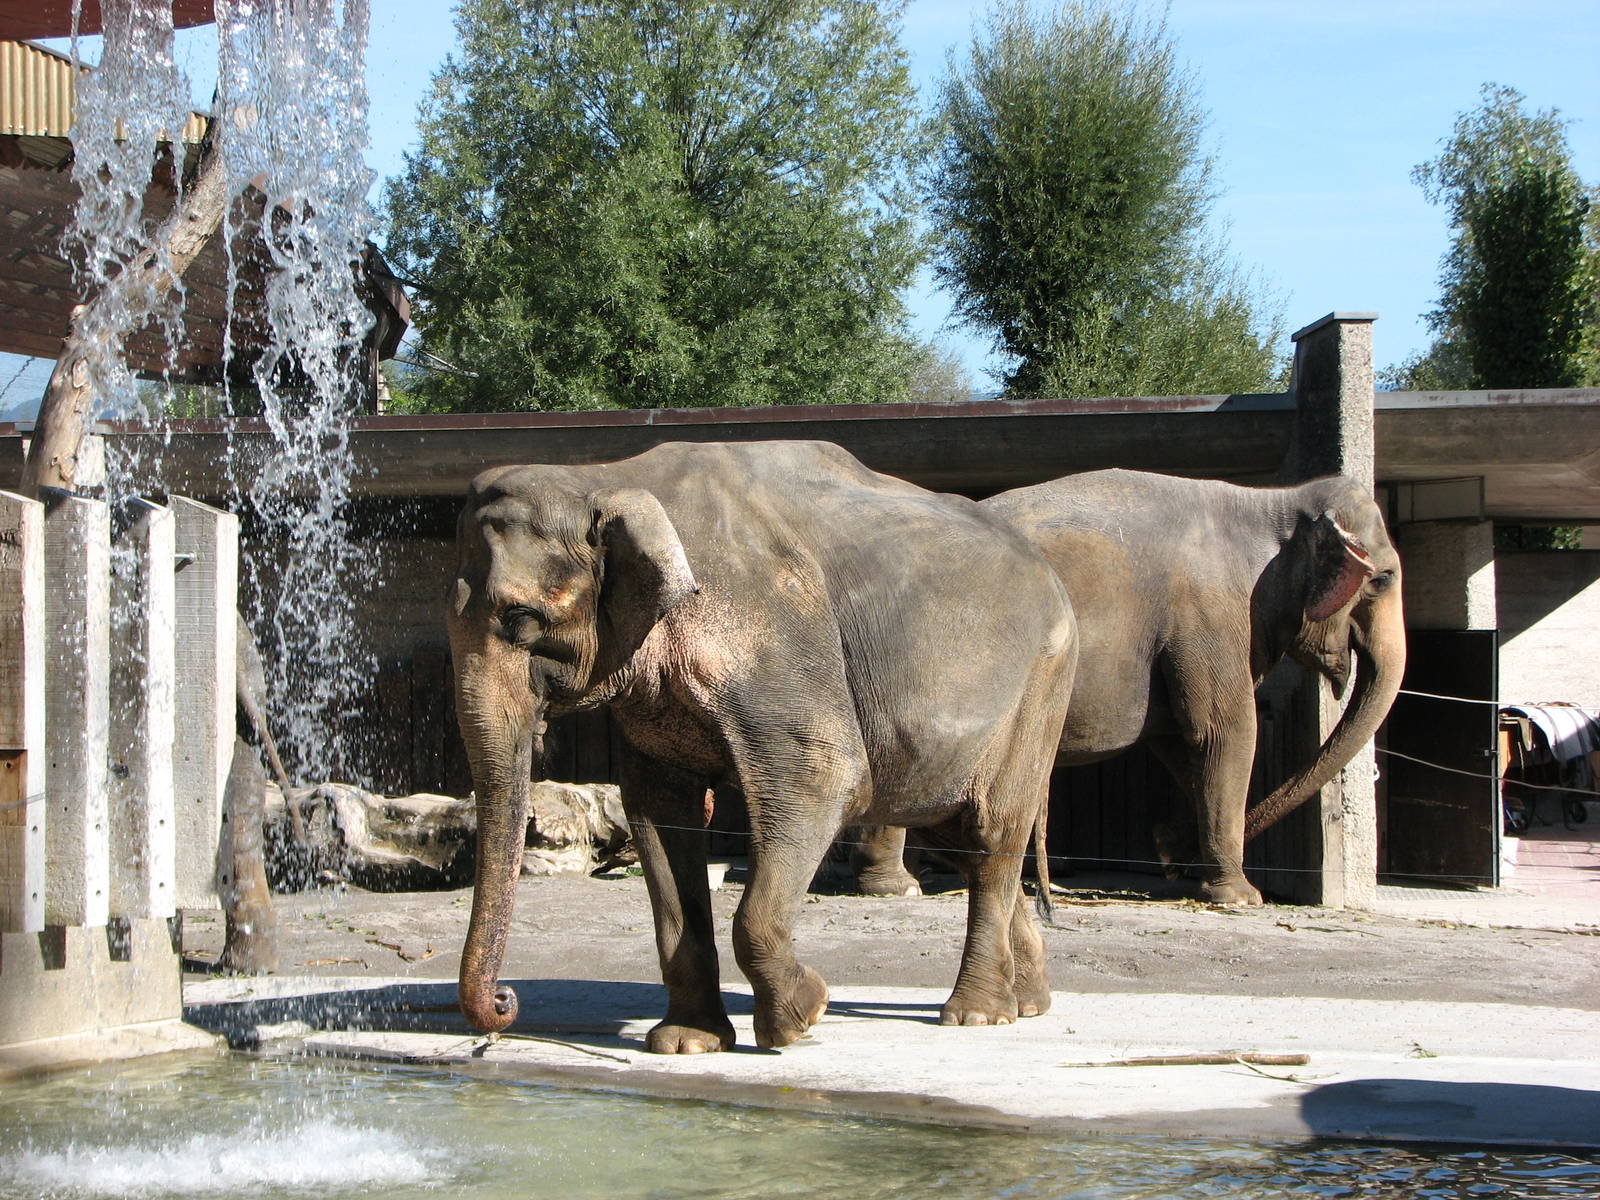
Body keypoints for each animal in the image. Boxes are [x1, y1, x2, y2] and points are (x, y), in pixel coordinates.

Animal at [446, 440, 1076, 1052]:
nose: (504, 1001)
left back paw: (976, 1016)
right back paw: (1028, 1004)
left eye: (520, 618)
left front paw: (801, 1019)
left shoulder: (773, 633)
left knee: (992, 834)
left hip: (1040, 689)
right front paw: (687, 1044)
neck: (605, 476)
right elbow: (658, 815)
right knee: (959, 835)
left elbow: (823, 779)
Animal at [852, 469, 1404, 906]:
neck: (1274, 503)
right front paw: (1241, 898)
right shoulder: (1212, 615)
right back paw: (900, 887)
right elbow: (1223, 733)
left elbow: (1181, 746)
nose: (1167, 857)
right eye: (1382, 580)